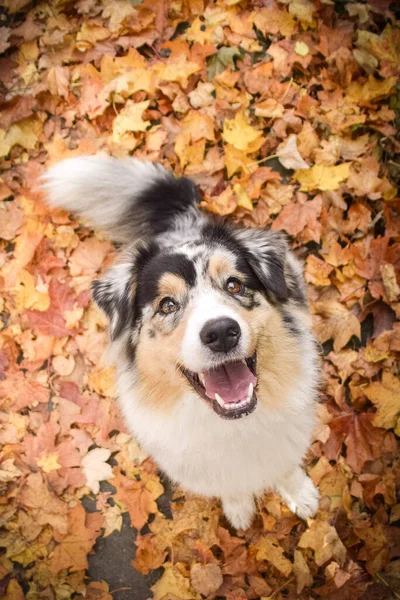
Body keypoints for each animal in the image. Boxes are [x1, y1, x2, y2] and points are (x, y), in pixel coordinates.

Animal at [43, 157, 318, 528]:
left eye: (234, 285)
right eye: (167, 305)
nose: (221, 332)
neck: (230, 425)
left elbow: (286, 466)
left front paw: (300, 494)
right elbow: (230, 486)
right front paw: (239, 508)